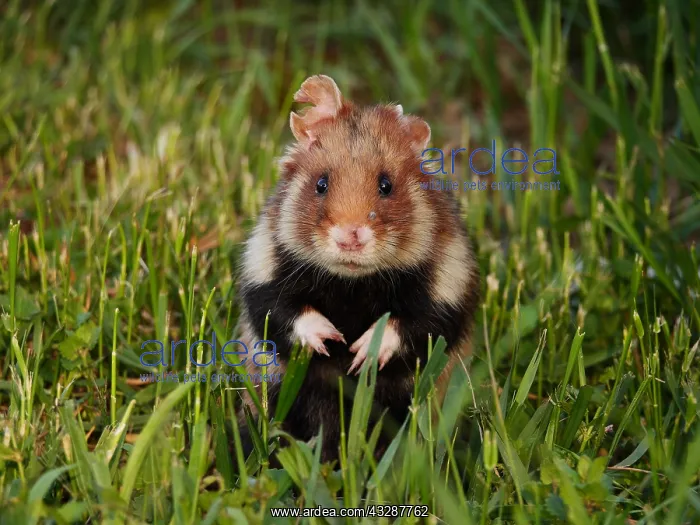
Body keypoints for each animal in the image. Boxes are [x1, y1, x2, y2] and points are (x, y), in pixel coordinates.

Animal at [236, 75, 480, 463]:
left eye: (386, 185)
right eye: (321, 184)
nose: (350, 238)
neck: (352, 283)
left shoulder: (446, 292)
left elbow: (412, 326)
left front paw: (360, 357)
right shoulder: (263, 276)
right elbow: (286, 313)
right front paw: (331, 341)